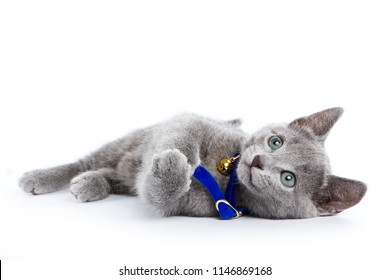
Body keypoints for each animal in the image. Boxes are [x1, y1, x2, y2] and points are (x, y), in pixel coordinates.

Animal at [18, 107, 366, 219]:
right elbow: (185, 129)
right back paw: (39, 178)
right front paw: (179, 157)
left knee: (112, 176)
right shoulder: (193, 120)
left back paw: (90, 184)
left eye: (288, 179)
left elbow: (158, 197)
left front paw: (171, 169)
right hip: (126, 143)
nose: (258, 160)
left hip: (124, 172)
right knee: (84, 161)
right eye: (275, 141)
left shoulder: (192, 207)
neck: (227, 177)